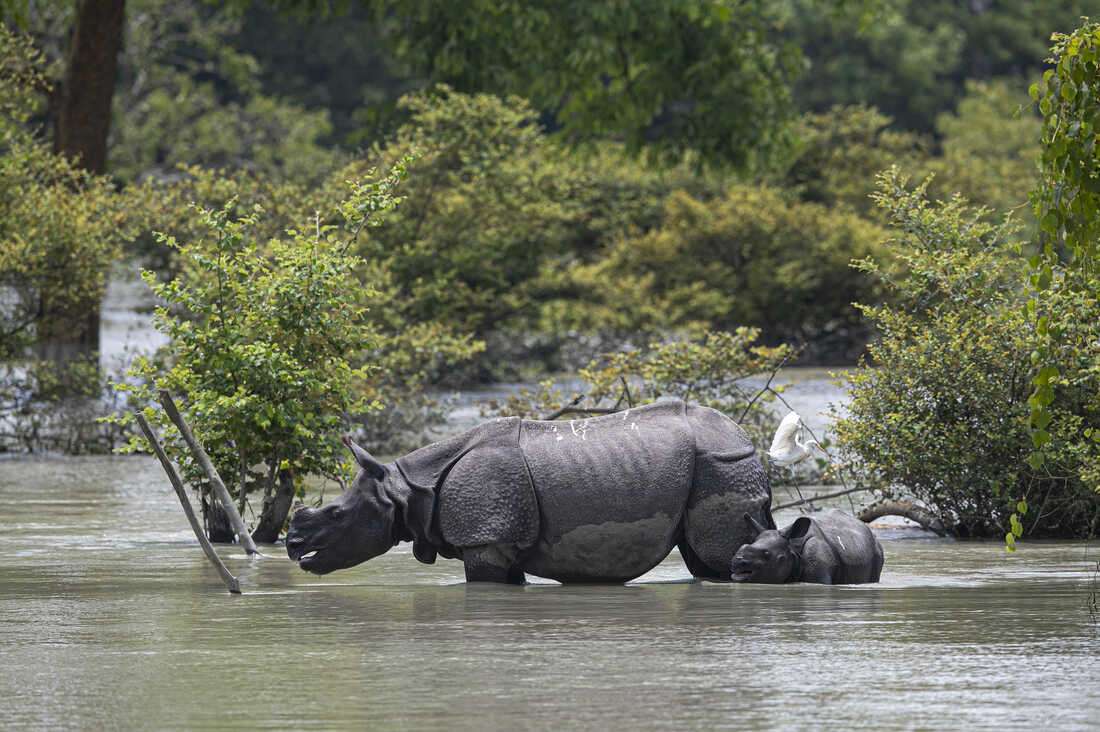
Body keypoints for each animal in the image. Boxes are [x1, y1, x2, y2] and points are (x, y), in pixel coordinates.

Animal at [288, 400, 778, 581]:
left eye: (336, 514)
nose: (293, 544)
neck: (408, 488)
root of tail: (744, 437)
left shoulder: (486, 535)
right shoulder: (499, 538)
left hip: (722, 464)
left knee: (719, 552)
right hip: (719, 464)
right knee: (705, 559)